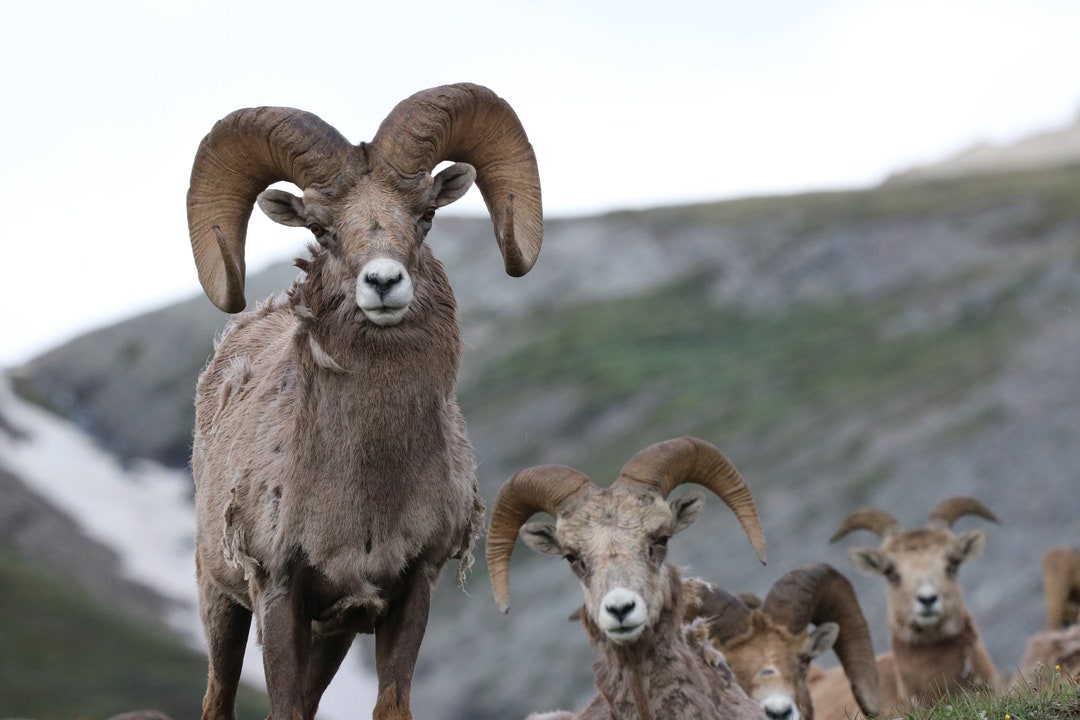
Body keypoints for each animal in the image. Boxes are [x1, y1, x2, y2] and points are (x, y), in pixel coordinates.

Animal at [185, 83, 543, 720]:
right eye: (321, 229)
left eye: (425, 216)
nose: (382, 283)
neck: (369, 491)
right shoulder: (279, 593)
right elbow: (283, 708)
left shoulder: (407, 592)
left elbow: (388, 704)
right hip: (220, 601)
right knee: (218, 695)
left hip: (335, 635)